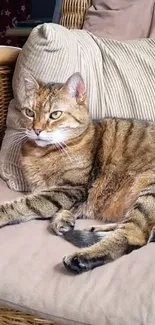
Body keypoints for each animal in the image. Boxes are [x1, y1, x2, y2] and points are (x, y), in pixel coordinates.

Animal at [0, 69, 155, 274]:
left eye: (55, 115)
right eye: (29, 112)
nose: (36, 130)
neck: (40, 152)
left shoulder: (69, 188)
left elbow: (25, 203)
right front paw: (63, 218)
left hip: (149, 190)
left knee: (135, 235)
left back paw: (82, 258)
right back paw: (97, 230)